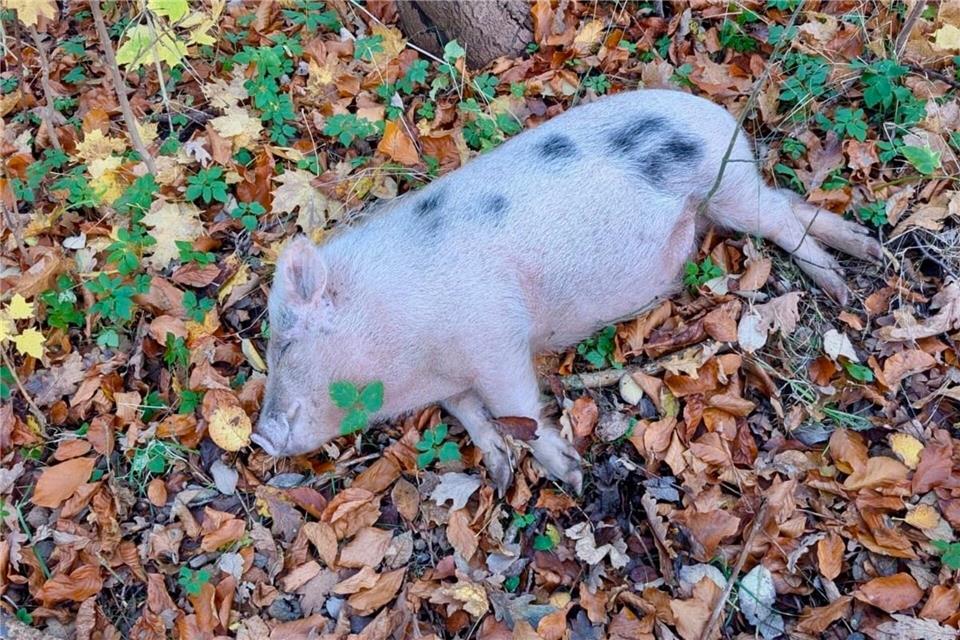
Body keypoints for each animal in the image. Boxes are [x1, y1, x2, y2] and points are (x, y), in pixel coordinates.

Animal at [252, 88, 881, 493]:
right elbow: (469, 413)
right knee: (792, 204)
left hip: (725, 187)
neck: (412, 351)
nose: (258, 437)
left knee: (781, 220)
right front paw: (500, 472)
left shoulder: (495, 336)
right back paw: (868, 253)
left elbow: (516, 407)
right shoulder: (450, 379)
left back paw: (842, 288)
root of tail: (713, 112)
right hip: (730, 197)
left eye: (286, 343)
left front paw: (572, 475)